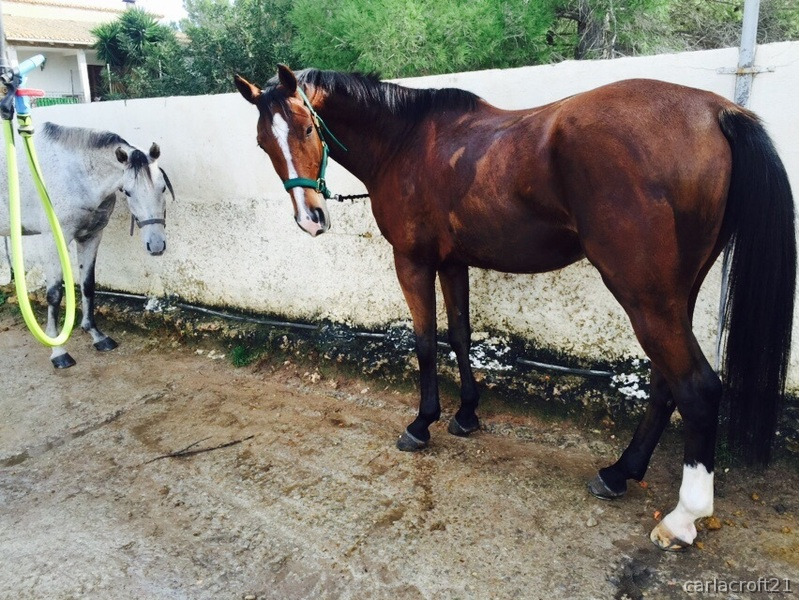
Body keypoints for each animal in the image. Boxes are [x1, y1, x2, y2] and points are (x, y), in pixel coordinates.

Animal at [0, 122, 174, 368]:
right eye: (128, 192)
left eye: (162, 188)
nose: (157, 245)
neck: (75, 175)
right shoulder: (53, 239)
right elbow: (54, 293)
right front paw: (58, 350)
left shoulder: (91, 236)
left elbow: (88, 285)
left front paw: (96, 336)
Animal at [234, 65, 796, 551]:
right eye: (263, 143)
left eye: (308, 127)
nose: (311, 219)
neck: (406, 140)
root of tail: (717, 111)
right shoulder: (452, 262)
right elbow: (459, 335)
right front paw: (466, 414)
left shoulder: (413, 261)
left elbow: (425, 341)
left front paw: (422, 423)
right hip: (675, 292)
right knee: (666, 382)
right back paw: (619, 472)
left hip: (644, 294)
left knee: (696, 387)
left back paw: (683, 518)